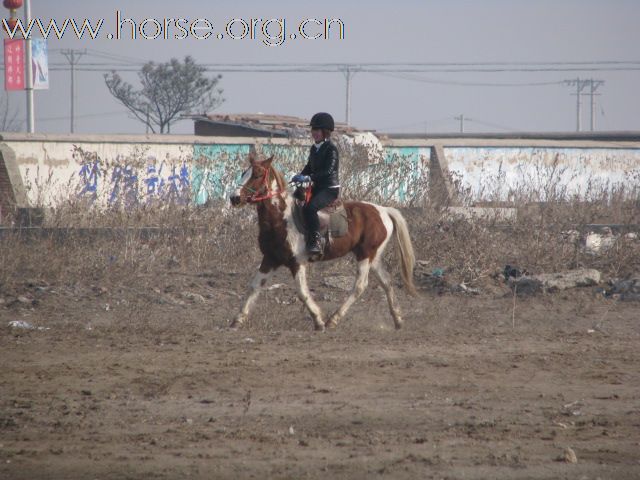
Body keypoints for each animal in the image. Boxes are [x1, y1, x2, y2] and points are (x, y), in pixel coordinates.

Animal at [228, 152, 418, 332]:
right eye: (244, 173)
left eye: (257, 174)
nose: (234, 198)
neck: (281, 219)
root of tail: (383, 210)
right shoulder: (270, 259)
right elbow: (254, 286)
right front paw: (237, 321)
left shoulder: (297, 262)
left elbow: (302, 292)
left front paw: (318, 320)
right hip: (373, 257)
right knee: (386, 282)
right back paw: (398, 320)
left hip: (365, 255)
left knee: (360, 286)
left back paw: (333, 319)